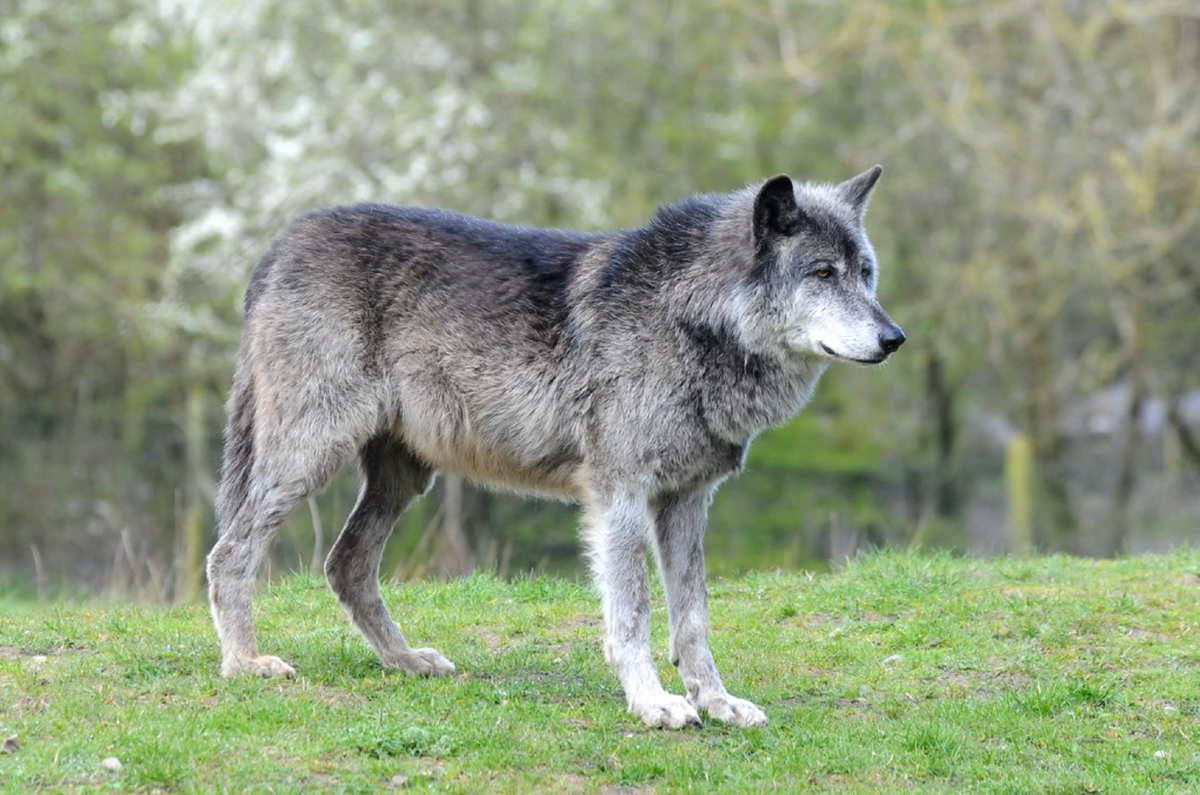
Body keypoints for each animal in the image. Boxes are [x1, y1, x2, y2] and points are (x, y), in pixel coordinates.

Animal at [208, 164, 902, 730]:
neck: (690, 316)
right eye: (822, 273)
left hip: (403, 477)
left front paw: (717, 702)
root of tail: (280, 243)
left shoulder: (686, 501)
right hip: (309, 456)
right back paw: (244, 662)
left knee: (345, 563)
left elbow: (694, 620)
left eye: (866, 274)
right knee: (229, 553)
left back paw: (404, 660)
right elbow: (633, 612)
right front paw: (654, 703)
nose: (894, 338)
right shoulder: (619, 495)